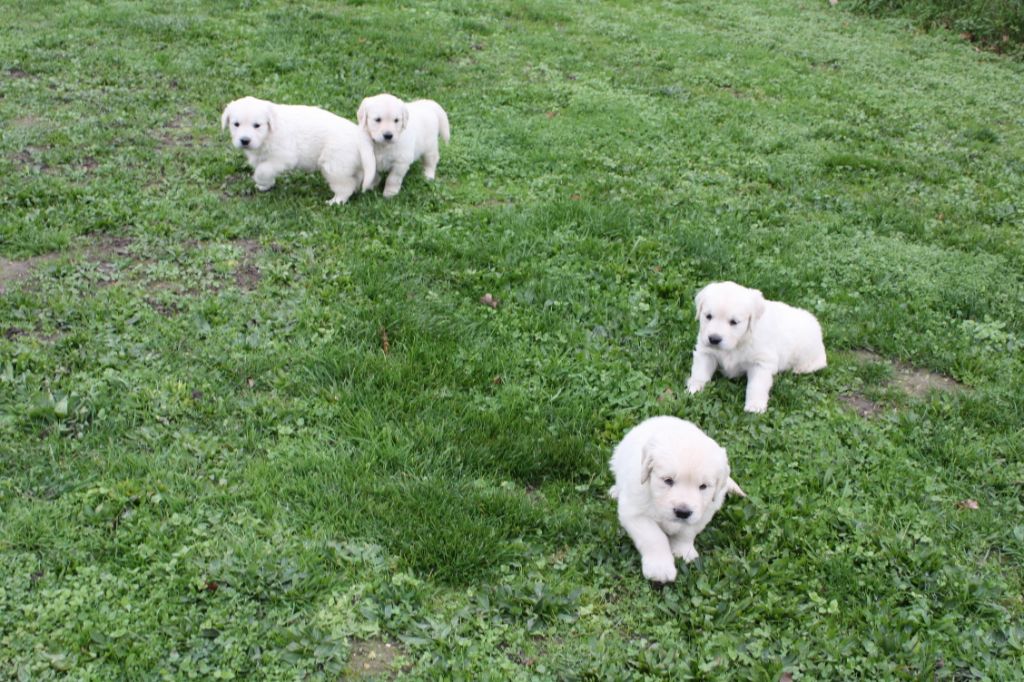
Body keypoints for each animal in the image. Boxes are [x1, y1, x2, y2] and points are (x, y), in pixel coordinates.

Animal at [220, 95, 376, 202]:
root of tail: (359, 136)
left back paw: (336, 201)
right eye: (236, 124)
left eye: (257, 125)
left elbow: (262, 171)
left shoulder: (284, 156)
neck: (269, 132)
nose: (245, 140)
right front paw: (265, 185)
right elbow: (264, 170)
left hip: (334, 165)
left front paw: (261, 181)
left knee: (346, 186)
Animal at [606, 413, 745, 585]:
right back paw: (615, 491)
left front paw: (683, 551)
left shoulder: (702, 514)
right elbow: (654, 536)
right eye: (668, 480)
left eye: (703, 486)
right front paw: (660, 568)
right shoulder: (635, 512)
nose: (682, 512)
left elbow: (686, 533)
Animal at [684, 278, 827, 411]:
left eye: (734, 322)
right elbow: (700, 373)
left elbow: (756, 386)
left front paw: (755, 407)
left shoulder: (761, 363)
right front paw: (693, 389)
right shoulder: (706, 352)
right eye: (708, 316)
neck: (739, 342)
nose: (714, 339)